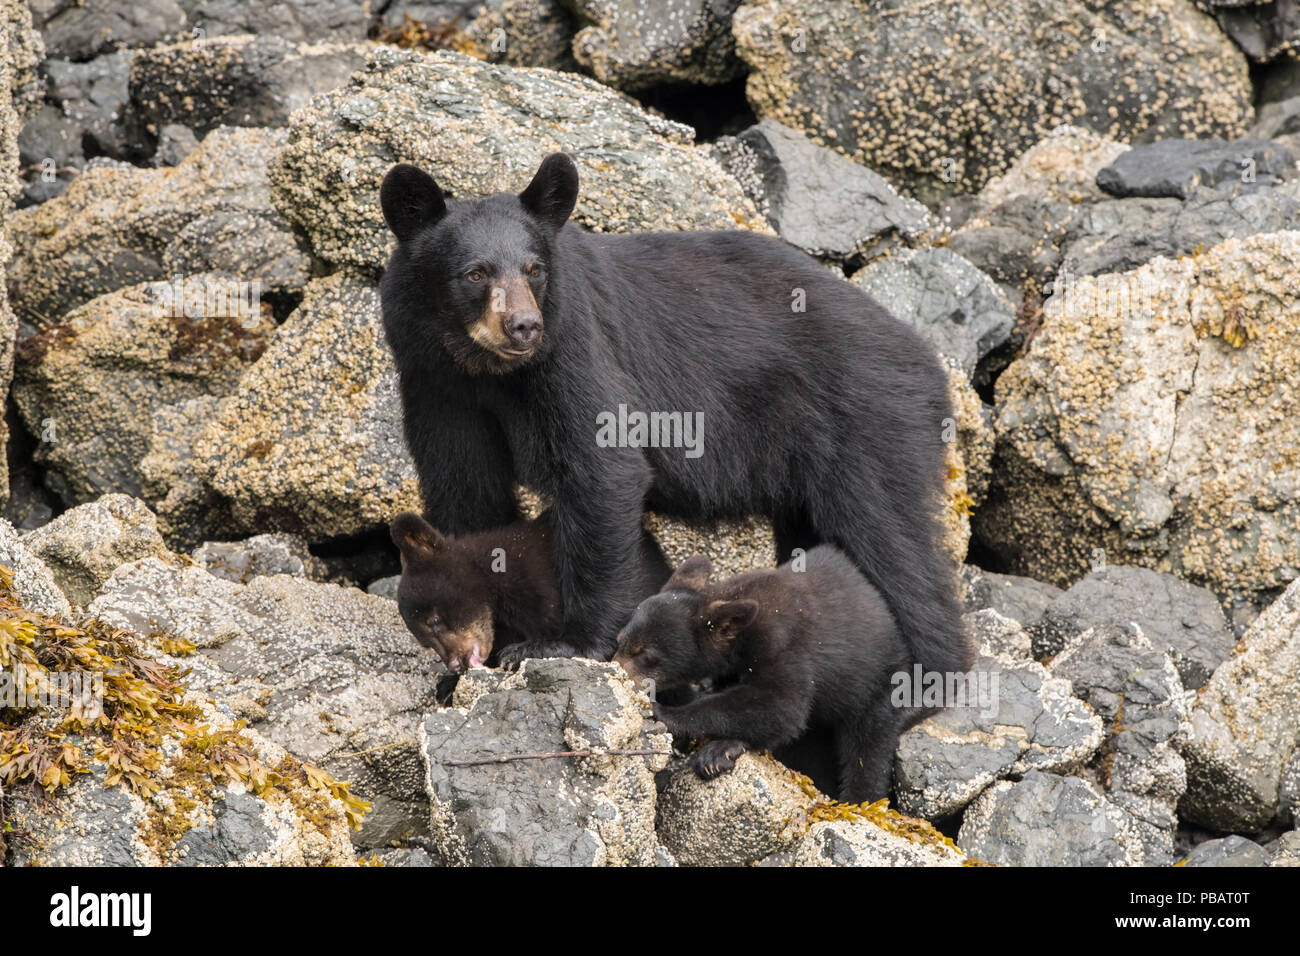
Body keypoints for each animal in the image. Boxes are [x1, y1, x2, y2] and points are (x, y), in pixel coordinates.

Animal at [379, 153, 972, 676]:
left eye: (535, 269)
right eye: (475, 273)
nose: (524, 326)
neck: (489, 370)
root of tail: (930, 360)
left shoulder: (573, 353)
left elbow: (602, 470)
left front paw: (565, 643)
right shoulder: (436, 383)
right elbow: (464, 486)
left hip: (869, 423)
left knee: (895, 550)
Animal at [613, 548, 909, 806]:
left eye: (646, 655)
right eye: (619, 641)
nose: (616, 671)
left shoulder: (784, 649)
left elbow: (779, 705)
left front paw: (664, 713)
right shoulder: (731, 670)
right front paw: (720, 746)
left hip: (877, 686)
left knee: (868, 748)